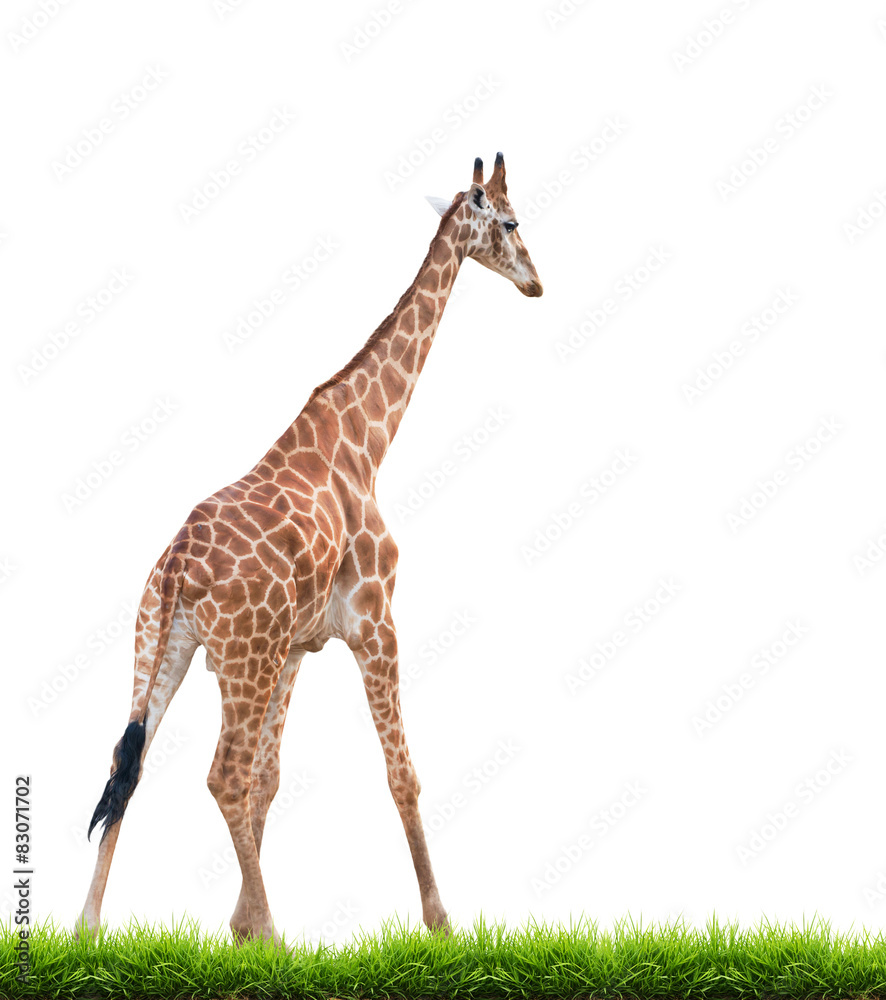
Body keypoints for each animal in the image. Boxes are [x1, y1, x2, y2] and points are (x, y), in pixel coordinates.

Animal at [76, 152, 542, 947]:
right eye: (511, 222)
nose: (537, 280)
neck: (367, 439)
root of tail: (176, 565)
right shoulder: (375, 620)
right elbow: (401, 773)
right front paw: (439, 922)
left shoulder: (297, 646)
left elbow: (272, 780)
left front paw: (237, 927)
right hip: (239, 657)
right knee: (219, 774)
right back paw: (277, 934)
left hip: (164, 648)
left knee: (127, 762)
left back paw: (86, 928)